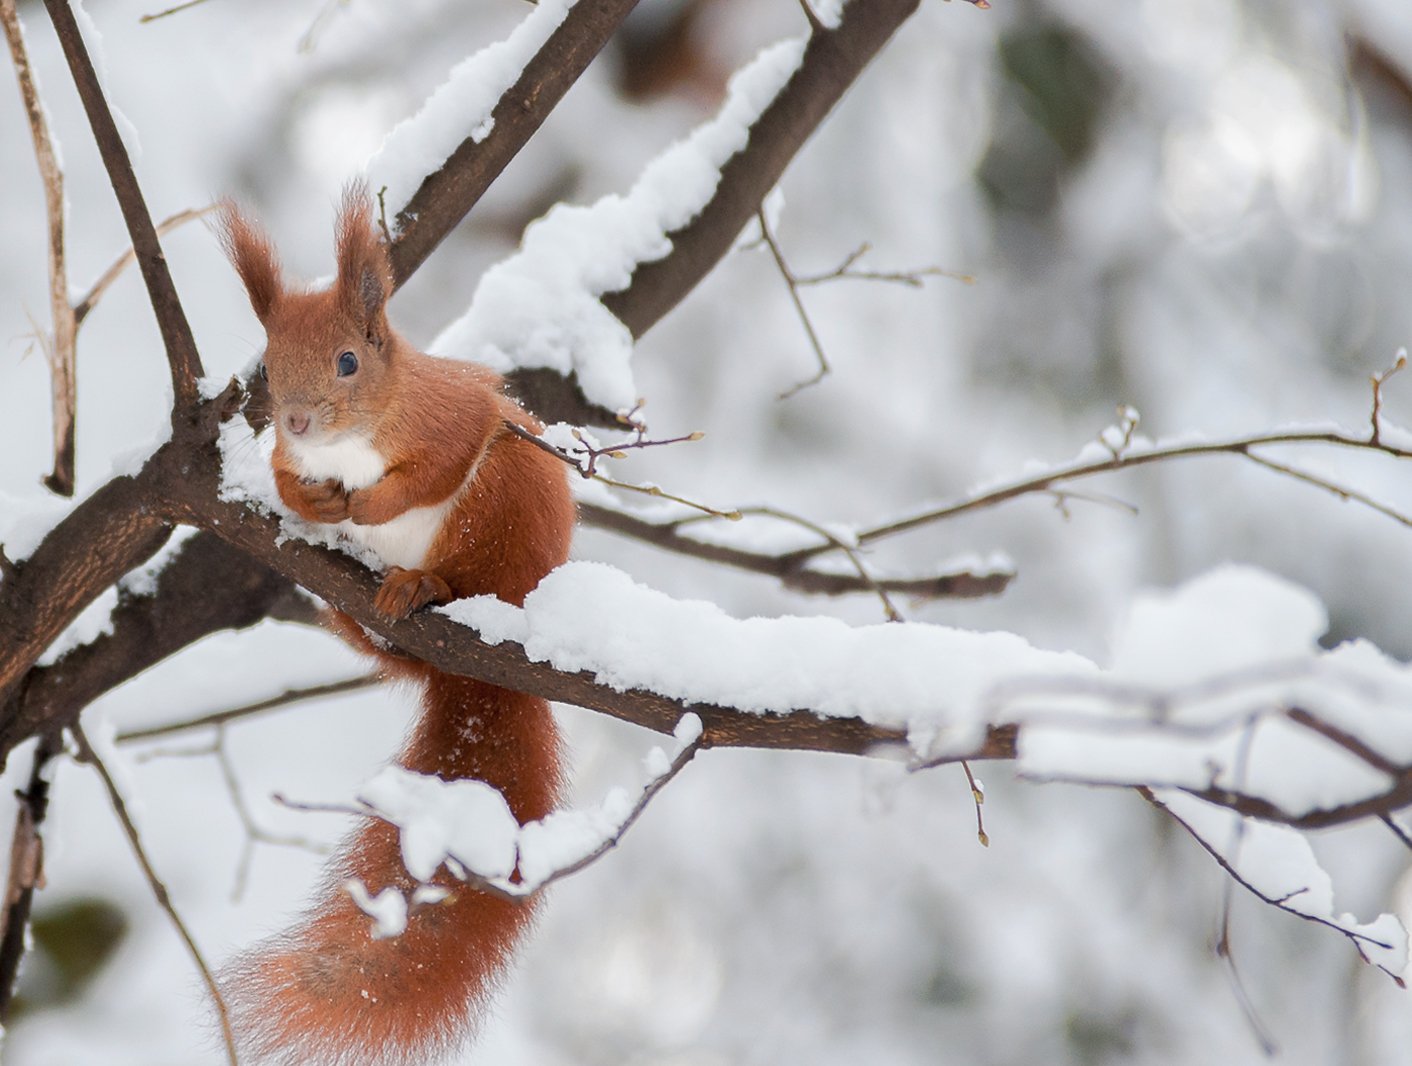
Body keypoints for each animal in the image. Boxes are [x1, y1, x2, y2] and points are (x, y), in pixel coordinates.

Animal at [214, 187, 567, 1061]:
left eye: (348, 361)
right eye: (268, 368)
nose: (297, 421)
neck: (352, 443)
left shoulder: (450, 419)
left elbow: (432, 468)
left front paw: (372, 504)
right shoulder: (289, 459)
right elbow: (283, 479)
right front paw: (313, 500)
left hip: (499, 506)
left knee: (465, 554)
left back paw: (421, 583)